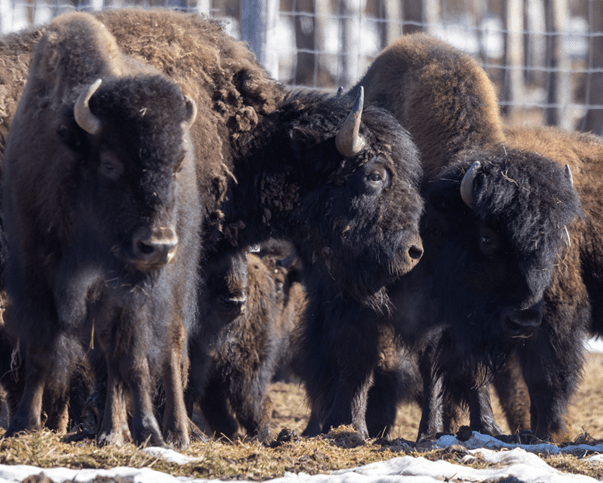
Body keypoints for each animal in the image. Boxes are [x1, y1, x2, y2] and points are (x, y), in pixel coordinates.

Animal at [2, 12, 201, 450]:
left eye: (176, 164)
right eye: (110, 163)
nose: (157, 245)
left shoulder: (125, 287)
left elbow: (127, 357)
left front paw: (134, 430)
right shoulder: (35, 265)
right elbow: (41, 346)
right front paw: (24, 423)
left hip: (173, 283)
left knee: (165, 350)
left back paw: (168, 433)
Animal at [296, 33, 584, 442]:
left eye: (553, 245)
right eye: (486, 239)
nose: (525, 320)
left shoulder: (452, 312)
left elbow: (446, 363)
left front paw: (465, 429)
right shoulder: (361, 290)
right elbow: (358, 353)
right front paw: (349, 426)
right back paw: (320, 423)